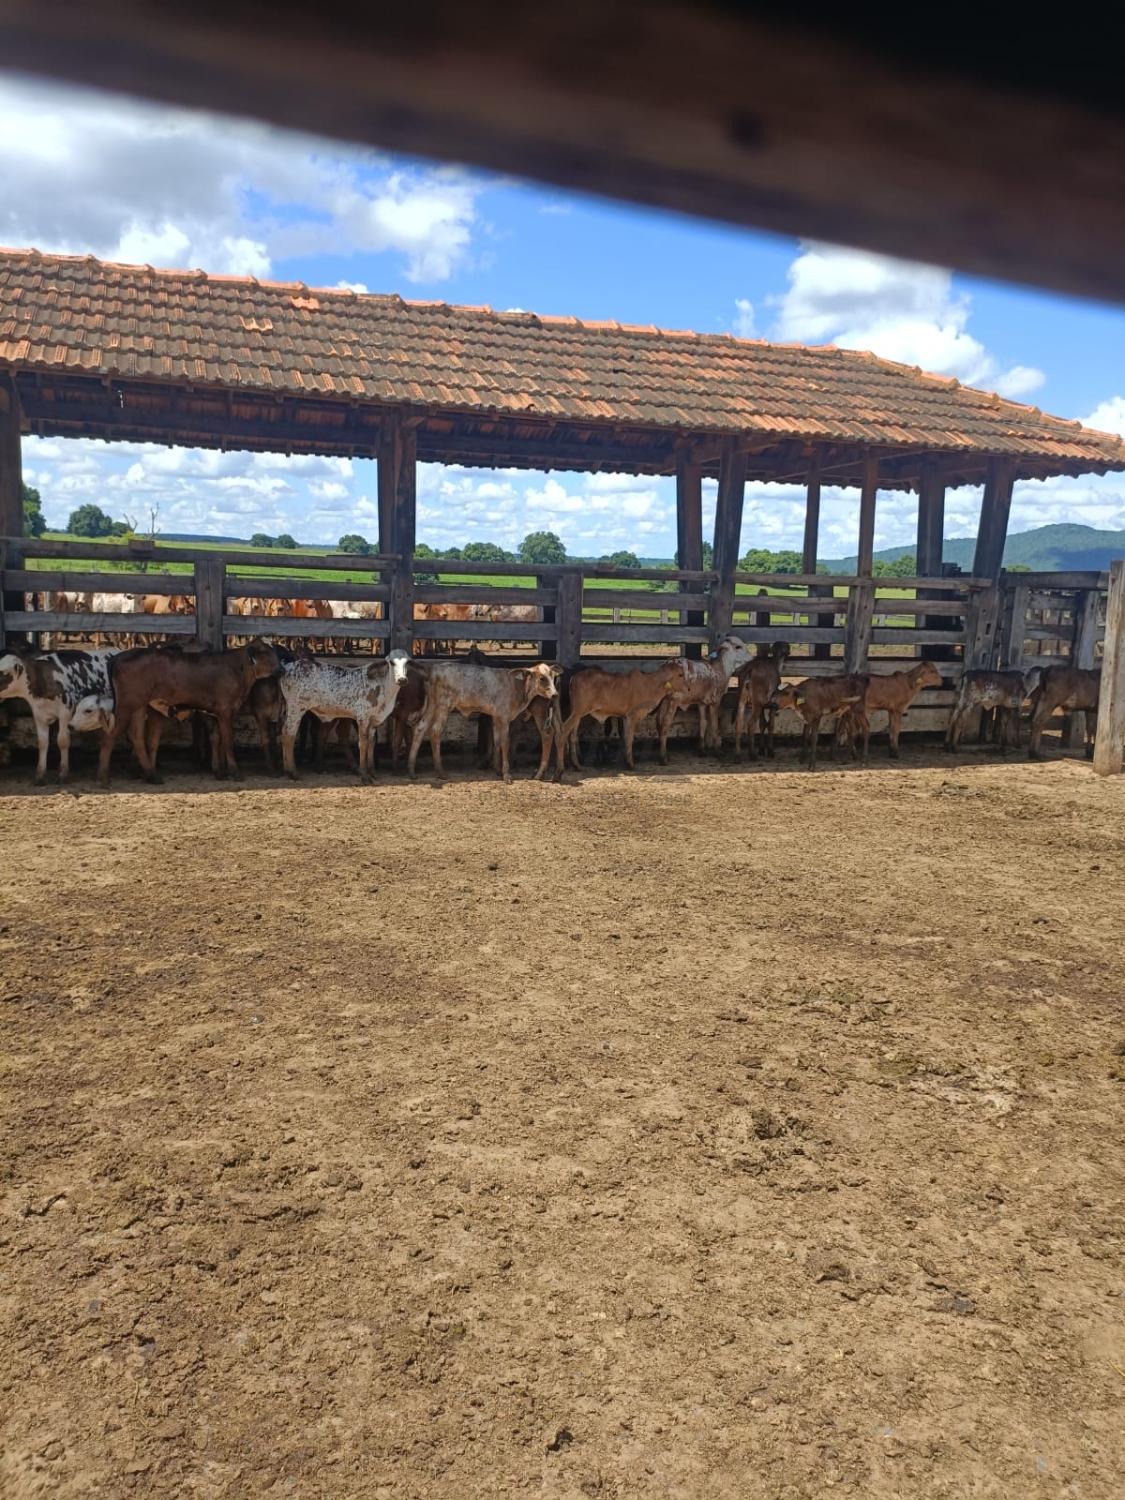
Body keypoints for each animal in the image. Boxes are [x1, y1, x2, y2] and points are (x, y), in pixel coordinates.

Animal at [0, 648, 118, 783]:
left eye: (3, 672)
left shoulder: (65, 714)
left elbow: (63, 740)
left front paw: (63, 773)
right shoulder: (39, 715)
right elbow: (42, 742)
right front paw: (40, 774)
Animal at [408, 661, 559, 782]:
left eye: (553, 677)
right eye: (542, 678)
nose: (555, 695)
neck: (517, 687)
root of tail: (434, 669)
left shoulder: (496, 717)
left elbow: (497, 741)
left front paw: (497, 770)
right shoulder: (504, 717)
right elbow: (505, 742)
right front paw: (506, 774)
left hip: (432, 705)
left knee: (421, 727)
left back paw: (411, 769)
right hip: (443, 706)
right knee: (435, 731)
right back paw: (440, 771)